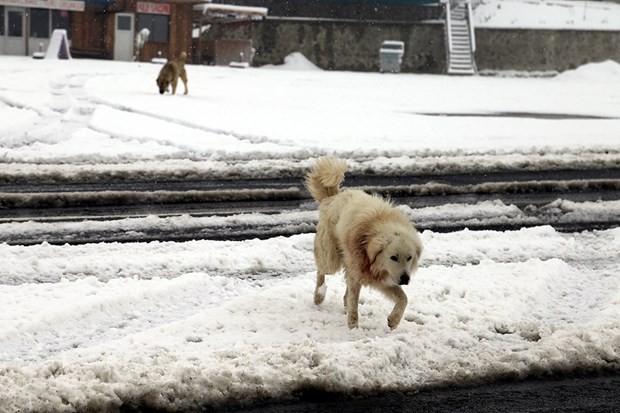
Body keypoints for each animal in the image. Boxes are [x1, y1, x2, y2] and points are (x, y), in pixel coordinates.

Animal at [306, 157, 424, 328]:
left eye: (409, 258)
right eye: (393, 257)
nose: (405, 279)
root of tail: (333, 197)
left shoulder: (381, 275)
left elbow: (403, 297)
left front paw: (394, 320)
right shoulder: (367, 271)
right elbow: (354, 303)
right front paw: (353, 327)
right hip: (331, 258)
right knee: (321, 270)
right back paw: (319, 295)